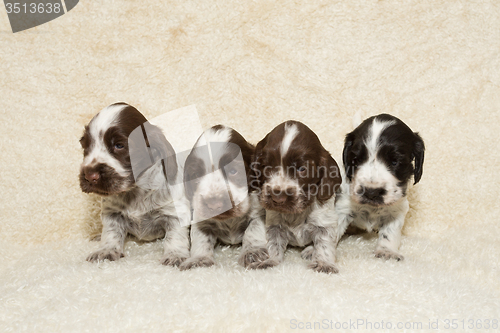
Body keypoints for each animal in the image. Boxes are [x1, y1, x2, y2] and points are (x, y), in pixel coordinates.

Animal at [79, 102, 190, 266]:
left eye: (119, 145)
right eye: (85, 146)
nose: (89, 176)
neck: (135, 191)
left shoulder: (175, 213)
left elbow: (175, 236)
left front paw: (175, 255)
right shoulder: (112, 213)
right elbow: (111, 232)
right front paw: (106, 250)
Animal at [178, 124, 268, 270]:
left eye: (233, 171)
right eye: (196, 175)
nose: (214, 205)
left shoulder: (258, 212)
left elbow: (253, 230)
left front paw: (253, 253)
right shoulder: (200, 219)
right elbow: (200, 238)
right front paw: (199, 259)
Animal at [250, 120, 344, 272]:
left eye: (302, 169)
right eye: (265, 166)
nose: (278, 198)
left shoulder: (324, 223)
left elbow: (324, 244)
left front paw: (324, 264)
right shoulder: (275, 225)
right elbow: (274, 244)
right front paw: (271, 261)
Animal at [336, 113, 426, 260]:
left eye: (395, 162)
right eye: (356, 160)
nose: (371, 192)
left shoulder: (396, 209)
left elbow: (390, 233)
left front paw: (386, 252)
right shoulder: (342, 207)